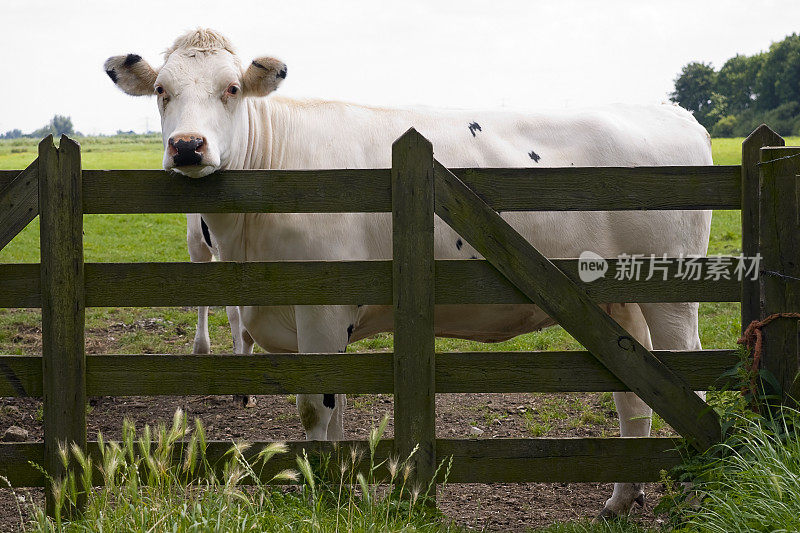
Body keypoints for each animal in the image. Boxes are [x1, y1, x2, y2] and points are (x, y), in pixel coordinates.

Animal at [106, 29, 712, 516]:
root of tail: (673, 113)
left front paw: (324, 497)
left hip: (670, 295)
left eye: (231, 88)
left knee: (691, 385)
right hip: (617, 306)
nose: (187, 146)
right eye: (161, 90)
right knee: (637, 399)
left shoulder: (322, 309)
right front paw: (340, 493)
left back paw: (694, 494)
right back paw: (621, 498)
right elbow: (336, 416)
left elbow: (314, 414)